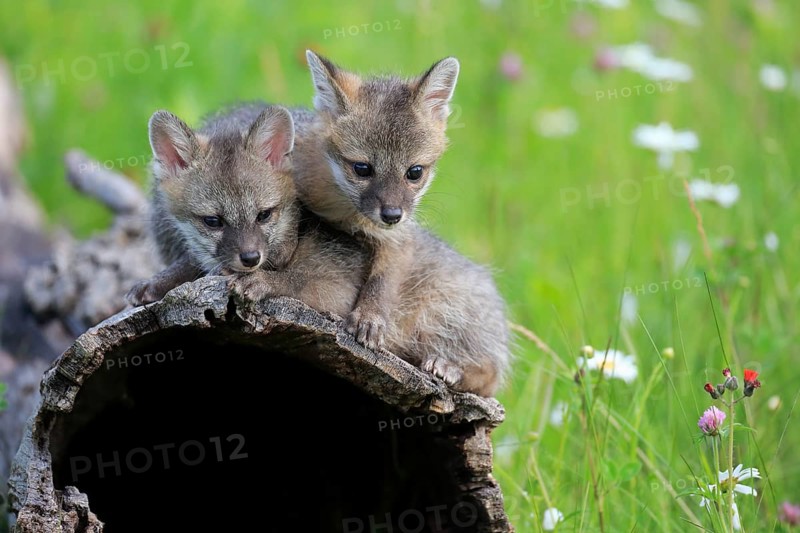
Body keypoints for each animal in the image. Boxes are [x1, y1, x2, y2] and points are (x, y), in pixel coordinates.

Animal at [290, 51, 462, 351]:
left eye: (414, 172)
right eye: (362, 168)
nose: (392, 215)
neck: (344, 214)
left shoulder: (398, 239)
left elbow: (383, 281)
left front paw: (371, 316)